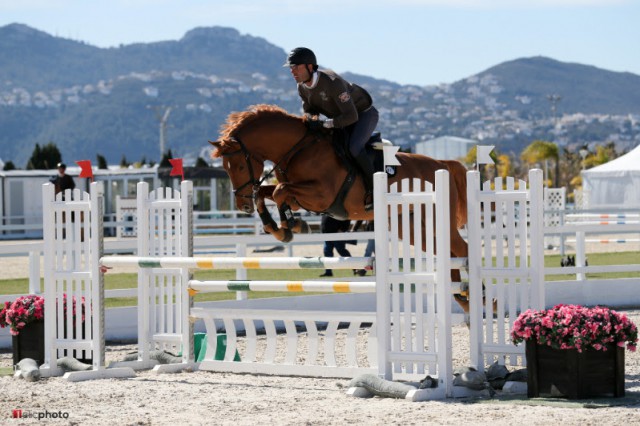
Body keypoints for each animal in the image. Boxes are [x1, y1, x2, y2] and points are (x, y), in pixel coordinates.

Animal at [210, 103, 470, 310]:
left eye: (239, 166)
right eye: (225, 168)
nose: (242, 205)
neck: (297, 150)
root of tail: (442, 164)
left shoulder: (321, 195)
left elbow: (279, 191)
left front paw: (289, 226)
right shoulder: (297, 193)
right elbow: (268, 193)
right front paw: (282, 228)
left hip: (438, 220)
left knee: (462, 249)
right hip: (414, 227)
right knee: (449, 253)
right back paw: (462, 297)